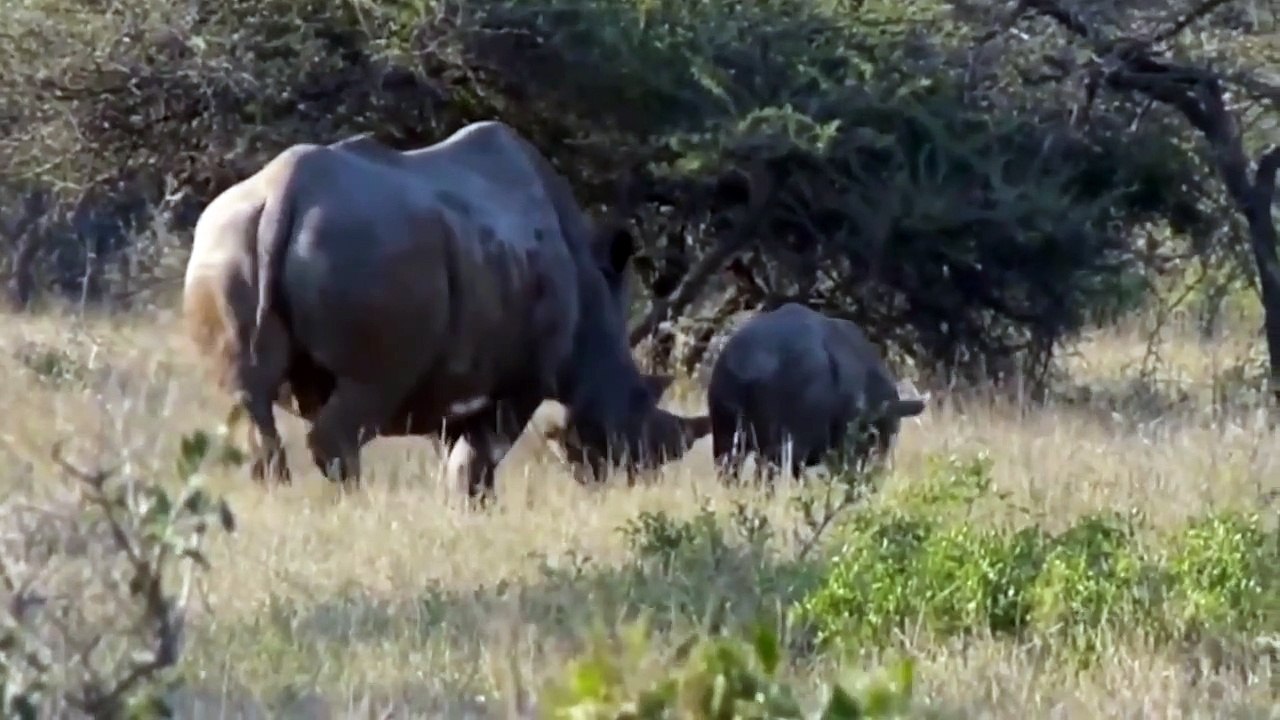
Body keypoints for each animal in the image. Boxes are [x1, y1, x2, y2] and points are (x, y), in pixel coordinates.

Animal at [181, 120, 711, 501]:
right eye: (636, 417)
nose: (634, 485)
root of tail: (282, 195)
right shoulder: (521, 379)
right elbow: (481, 453)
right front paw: (475, 508)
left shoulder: (458, 373)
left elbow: (455, 449)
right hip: (368, 252)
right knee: (367, 391)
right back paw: (355, 505)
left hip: (225, 241)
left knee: (247, 400)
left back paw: (278, 498)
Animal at [706, 303, 928, 481]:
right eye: (882, 432)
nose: (879, 470)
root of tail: (750, 364)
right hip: (786, 443)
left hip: (727, 433)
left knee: (731, 470)